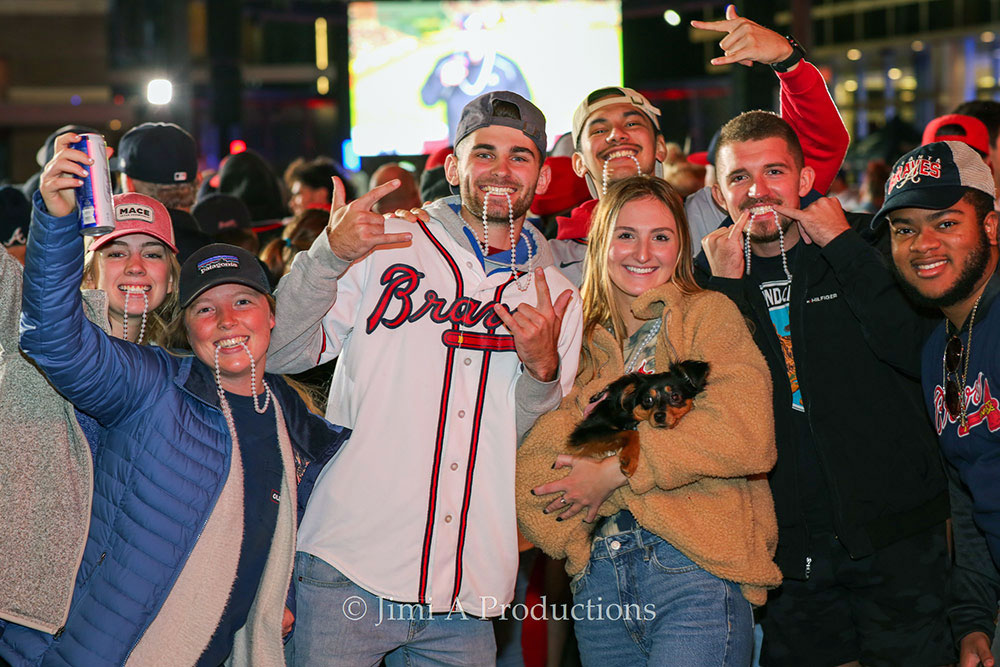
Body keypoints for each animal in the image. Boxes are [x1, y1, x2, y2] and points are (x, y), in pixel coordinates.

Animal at [572, 362, 712, 478]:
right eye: (647, 400)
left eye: (675, 396)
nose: (659, 416)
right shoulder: (583, 434)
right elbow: (633, 432)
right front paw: (630, 458)